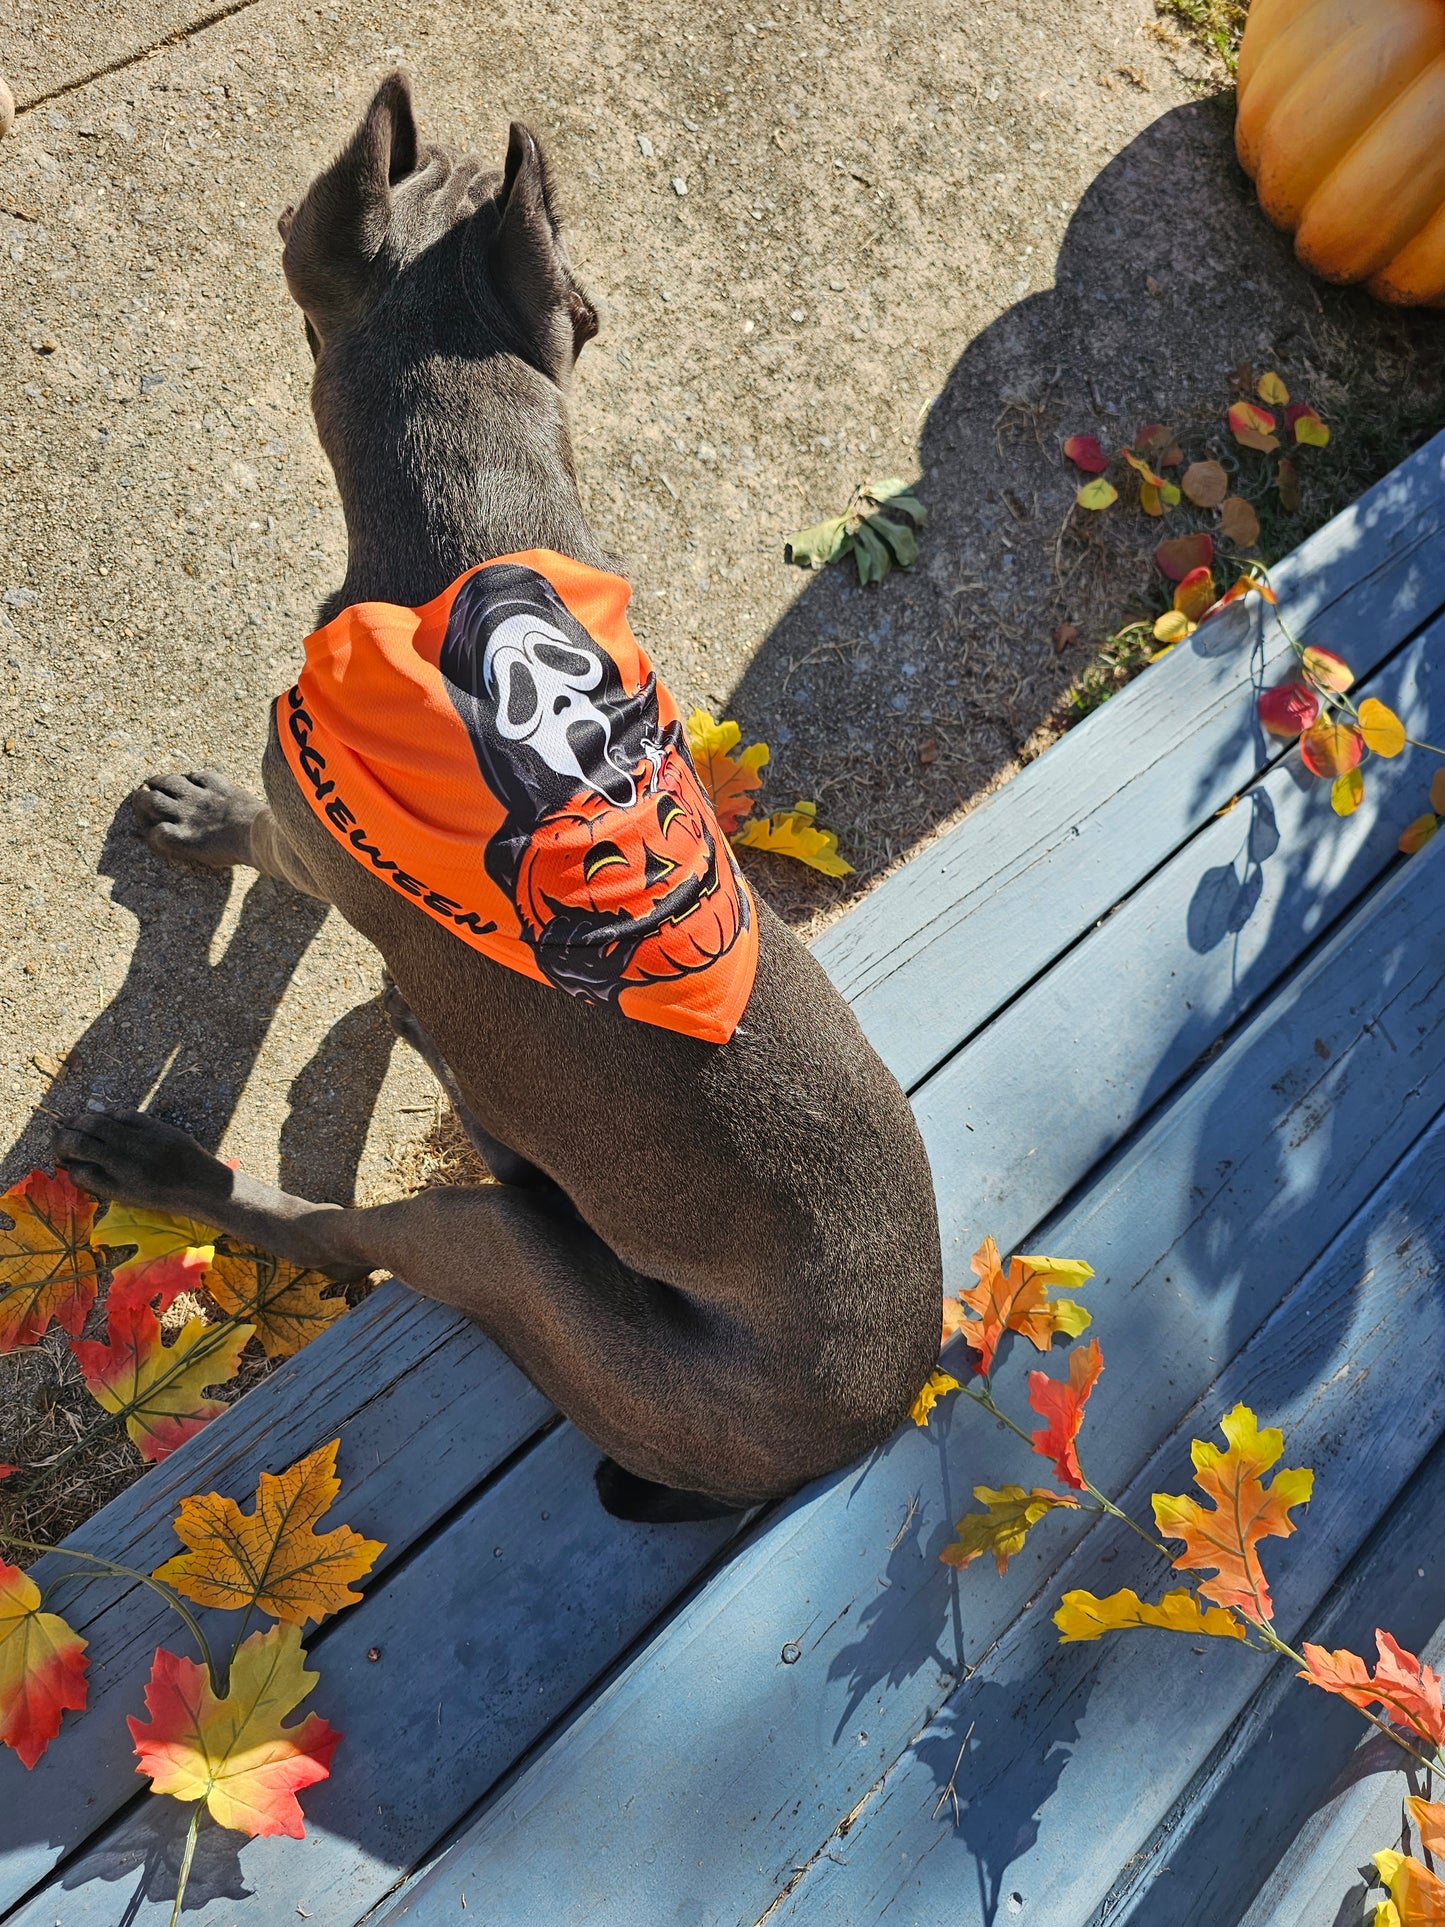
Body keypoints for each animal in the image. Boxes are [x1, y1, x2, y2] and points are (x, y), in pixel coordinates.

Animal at [56, 71, 944, 1518]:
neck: (472, 521)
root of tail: (850, 1428)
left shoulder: (306, 825)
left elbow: (264, 853)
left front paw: (201, 824)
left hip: (498, 1243)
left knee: (340, 1231)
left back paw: (170, 1168)